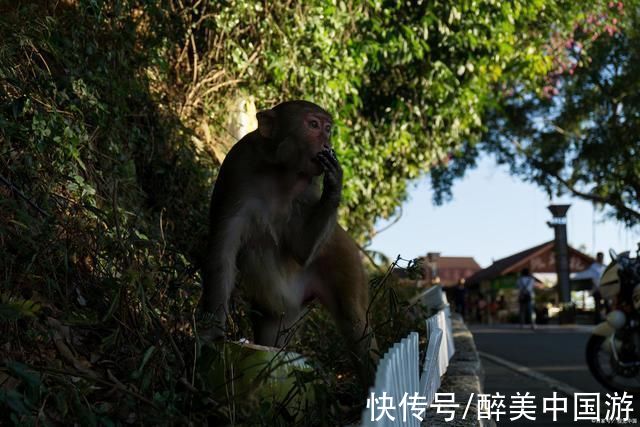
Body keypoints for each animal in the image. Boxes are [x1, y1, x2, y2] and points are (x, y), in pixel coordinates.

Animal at [200, 101, 376, 384]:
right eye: (313, 125)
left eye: (327, 128)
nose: (327, 141)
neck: (281, 172)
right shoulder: (238, 167)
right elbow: (222, 252)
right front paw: (211, 335)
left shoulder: (309, 187)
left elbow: (300, 251)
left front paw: (335, 183)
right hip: (286, 307)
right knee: (272, 328)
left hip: (346, 259)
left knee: (356, 324)